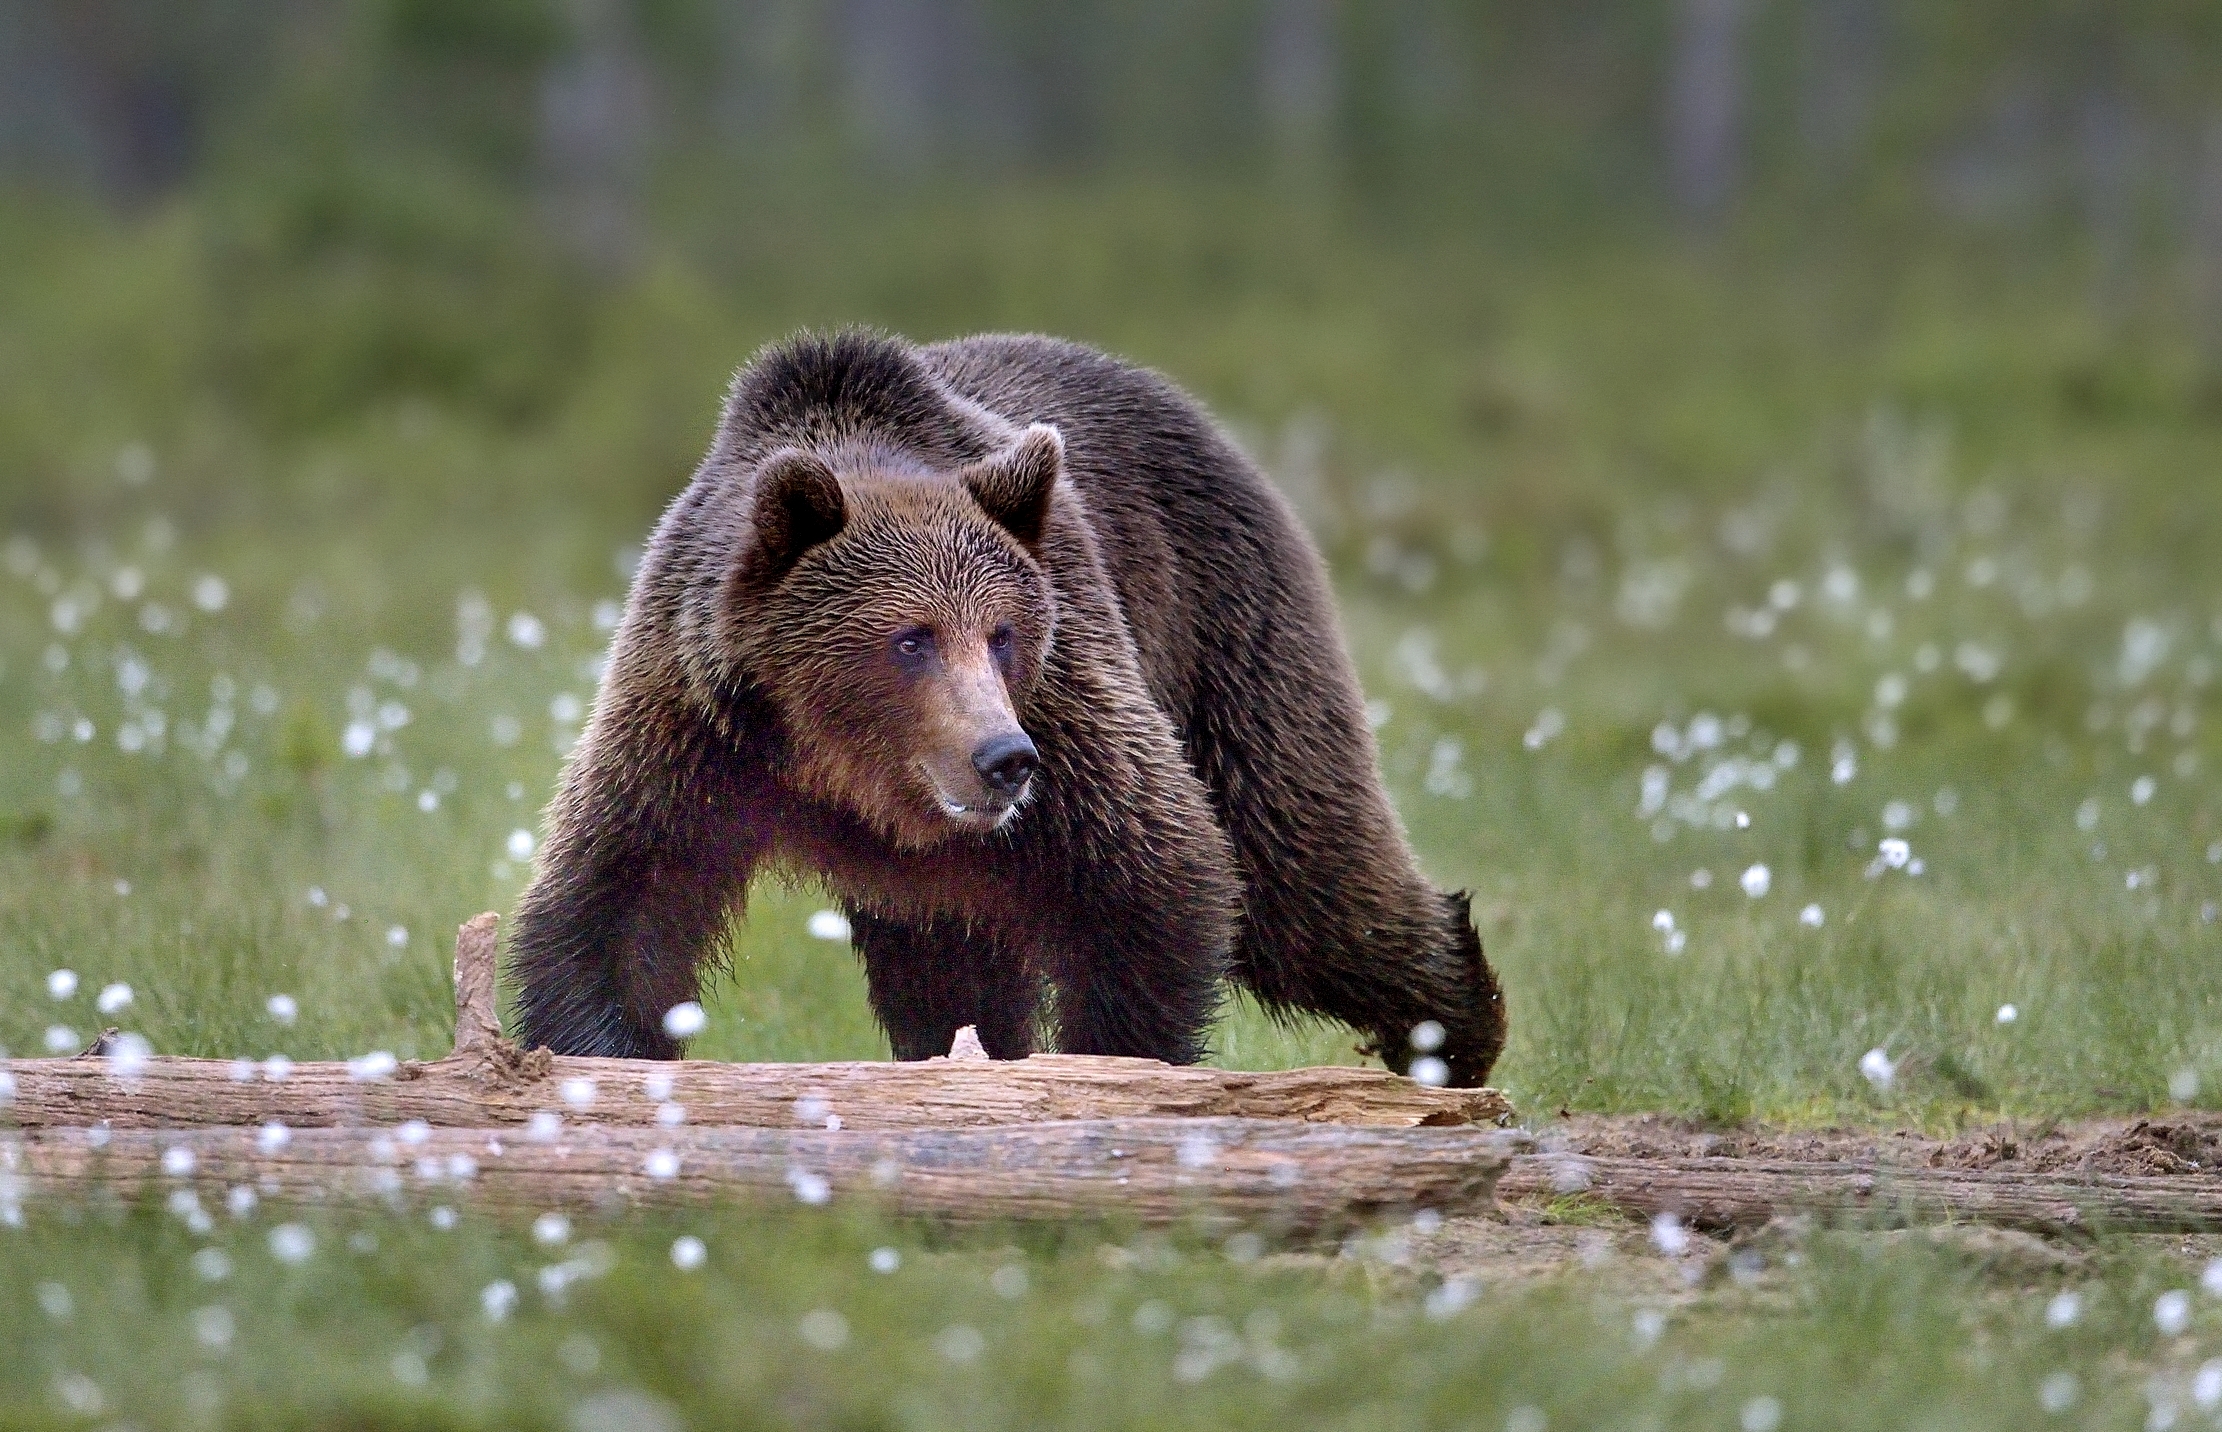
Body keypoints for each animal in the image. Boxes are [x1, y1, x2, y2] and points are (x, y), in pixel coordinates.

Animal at [506, 329, 1505, 1085]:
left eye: (1002, 633)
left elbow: (1155, 875)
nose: (1003, 759)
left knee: (1303, 878)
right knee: (948, 971)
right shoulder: (693, 721)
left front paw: (1112, 1076)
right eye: (909, 638)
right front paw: (600, 1062)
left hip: (1226, 630)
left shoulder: (1070, 690)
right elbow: (620, 903)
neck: (844, 772)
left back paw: (1456, 1035)